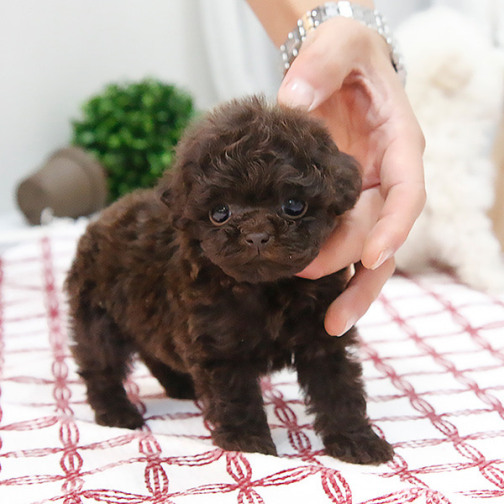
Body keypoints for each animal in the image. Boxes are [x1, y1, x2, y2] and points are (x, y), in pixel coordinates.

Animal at [65, 96, 394, 465]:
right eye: (219, 213)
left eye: (294, 205)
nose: (256, 234)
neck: (267, 288)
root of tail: (97, 223)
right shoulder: (219, 346)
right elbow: (235, 396)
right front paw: (247, 442)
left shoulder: (323, 335)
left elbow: (339, 389)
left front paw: (357, 440)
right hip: (100, 318)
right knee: (101, 367)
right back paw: (116, 413)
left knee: (153, 350)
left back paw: (181, 386)